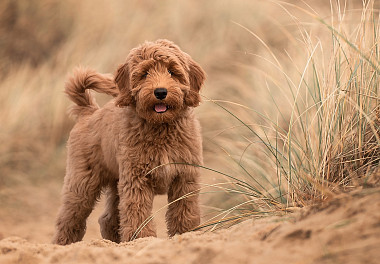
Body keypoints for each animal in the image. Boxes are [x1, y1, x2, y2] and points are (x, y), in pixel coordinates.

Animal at [52, 38, 206, 244]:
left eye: (172, 72)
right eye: (144, 74)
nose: (160, 92)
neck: (160, 127)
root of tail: (89, 111)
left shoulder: (184, 176)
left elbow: (185, 210)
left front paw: (187, 233)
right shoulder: (136, 178)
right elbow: (137, 211)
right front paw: (141, 238)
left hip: (116, 181)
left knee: (108, 218)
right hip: (82, 181)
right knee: (70, 216)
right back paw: (64, 243)